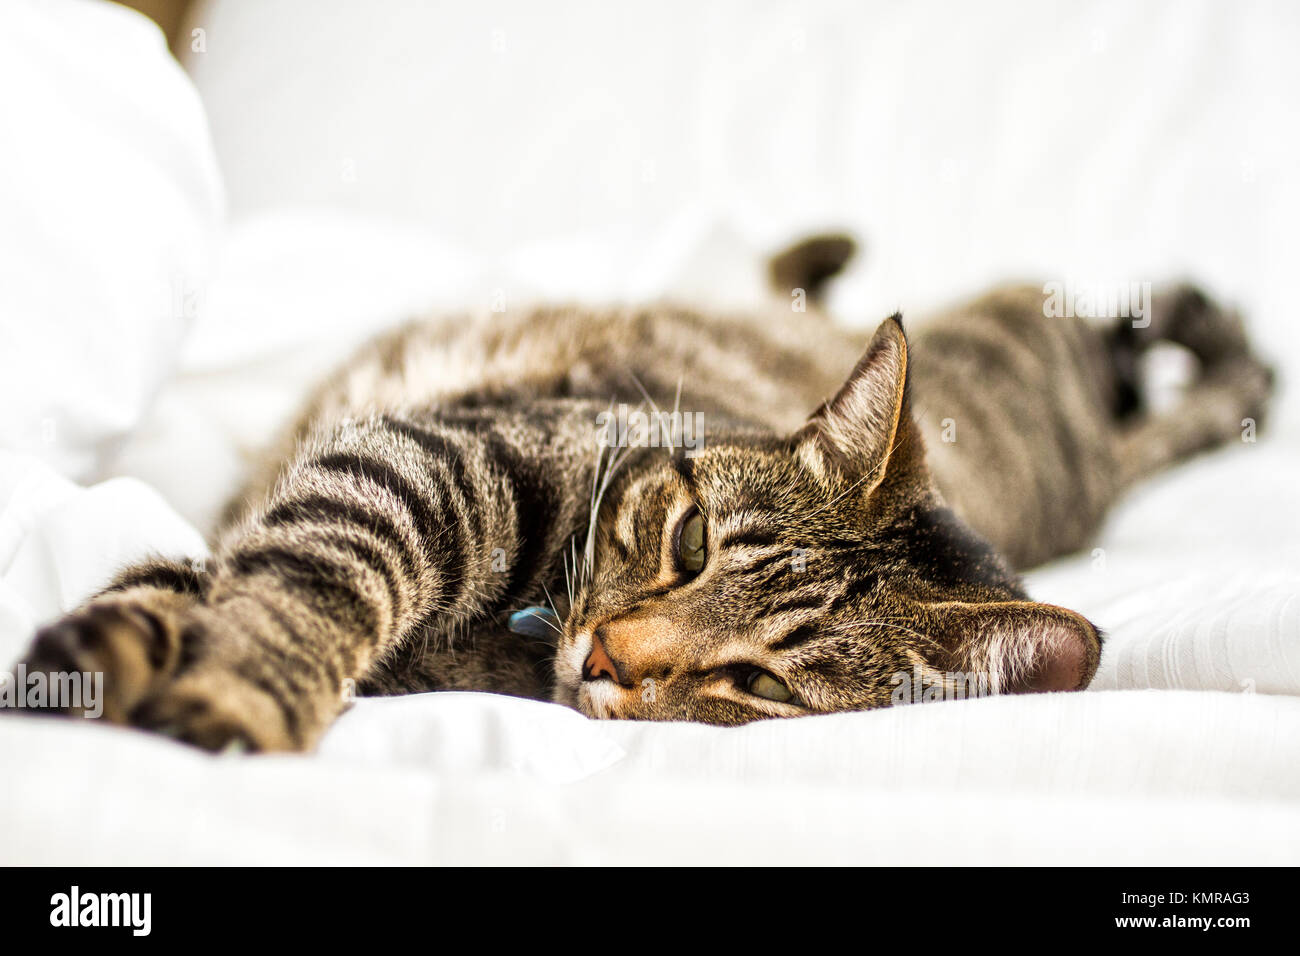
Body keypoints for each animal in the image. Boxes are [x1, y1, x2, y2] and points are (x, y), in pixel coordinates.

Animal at [12, 235, 1268, 749]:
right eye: (692, 540)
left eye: (756, 680)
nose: (610, 657)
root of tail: (1092, 462)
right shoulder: (415, 461)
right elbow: (271, 583)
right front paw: (121, 656)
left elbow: (266, 593)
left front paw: (219, 692)